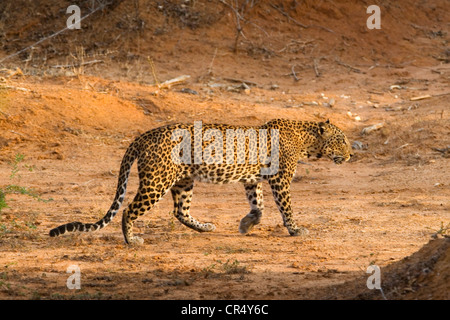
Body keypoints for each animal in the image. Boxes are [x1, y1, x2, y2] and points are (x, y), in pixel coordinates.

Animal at [49, 118, 352, 245]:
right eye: (342, 140)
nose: (351, 155)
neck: (306, 140)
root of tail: (144, 135)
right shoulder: (280, 180)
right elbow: (285, 208)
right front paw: (296, 230)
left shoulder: (252, 179)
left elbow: (259, 205)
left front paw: (246, 224)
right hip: (156, 182)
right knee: (128, 210)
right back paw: (132, 240)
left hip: (182, 181)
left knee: (179, 211)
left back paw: (205, 227)